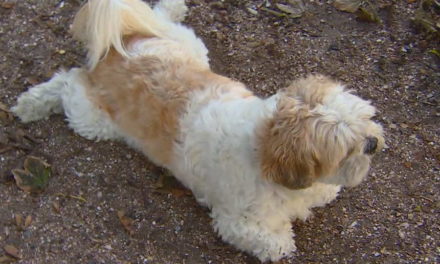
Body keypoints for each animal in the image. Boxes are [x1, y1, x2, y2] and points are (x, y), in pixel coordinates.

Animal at [11, 0, 384, 262]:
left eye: (366, 119)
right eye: (344, 148)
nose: (372, 142)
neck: (265, 144)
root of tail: (117, 48)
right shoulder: (234, 221)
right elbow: (272, 241)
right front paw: (282, 241)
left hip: (185, 44)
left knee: (154, 17)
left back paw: (172, 7)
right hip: (93, 118)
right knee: (67, 80)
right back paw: (32, 103)